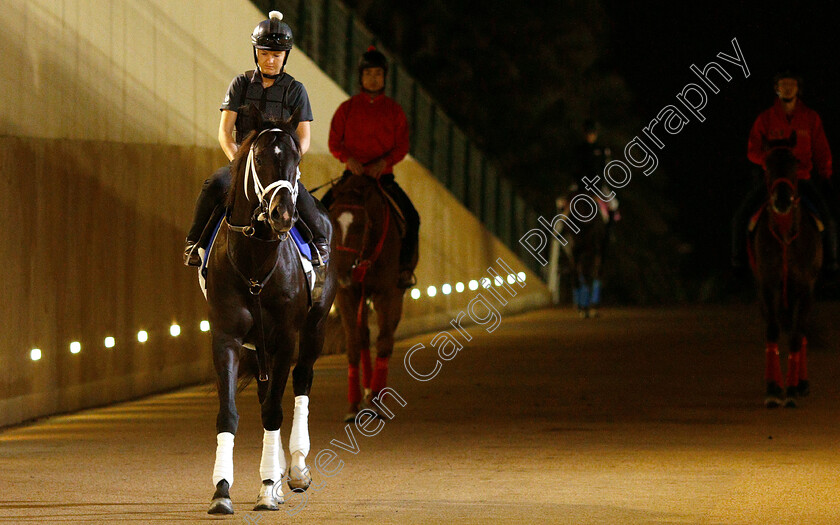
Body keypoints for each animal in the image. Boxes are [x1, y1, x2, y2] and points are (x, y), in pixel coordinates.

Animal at [203, 108, 334, 512]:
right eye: (259, 159)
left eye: (296, 159)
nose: (282, 215)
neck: (255, 261)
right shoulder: (227, 338)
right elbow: (229, 413)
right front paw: (222, 489)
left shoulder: (285, 338)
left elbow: (275, 410)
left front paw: (266, 486)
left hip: (313, 329)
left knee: (302, 382)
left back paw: (295, 471)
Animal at [326, 175, 406, 422]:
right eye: (331, 222)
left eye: (361, 225)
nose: (341, 275)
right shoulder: (347, 294)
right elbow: (353, 343)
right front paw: (353, 404)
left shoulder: (388, 294)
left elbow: (384, 342)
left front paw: (377, 402)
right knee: (363, 337)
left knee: (384, 339)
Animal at [748, 141, 820, 408]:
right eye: (767, 166)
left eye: (795, 164)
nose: (781, 200)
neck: (786, 239)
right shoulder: (767, 286)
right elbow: (772, 330)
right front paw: (773, 389)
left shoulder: (806, 288)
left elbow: (797, 336)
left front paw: (791, 389)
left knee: (801, 332)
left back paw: (801, 384)